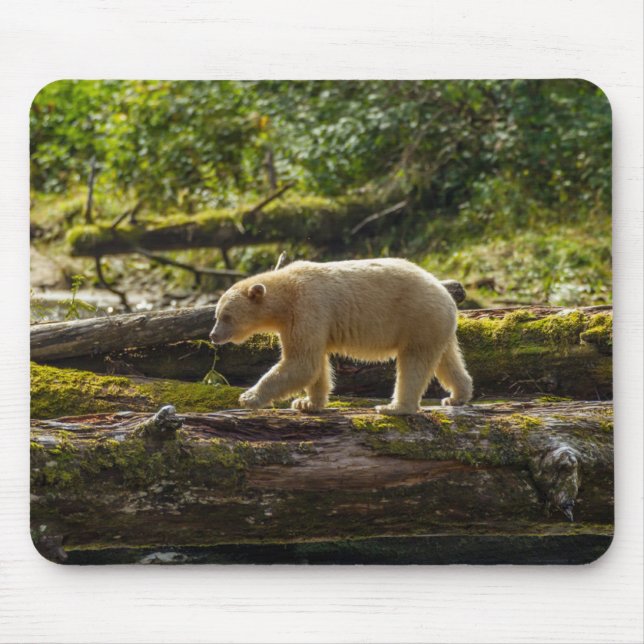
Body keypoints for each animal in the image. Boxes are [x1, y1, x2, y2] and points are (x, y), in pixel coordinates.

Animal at [209, 258, 473, 415]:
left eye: (226, 316)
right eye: (216, 314)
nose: (213, 335)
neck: (286, 293)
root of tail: (447, 296)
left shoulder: (307, 307)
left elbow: (301, 363)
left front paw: (249, 397)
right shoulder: (303, 321)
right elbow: (314, 364)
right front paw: (307, 403)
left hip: (417, 318)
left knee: (413, 364)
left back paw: (394, 407)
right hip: (435, 326)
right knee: (447, 360)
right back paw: (457, 396)